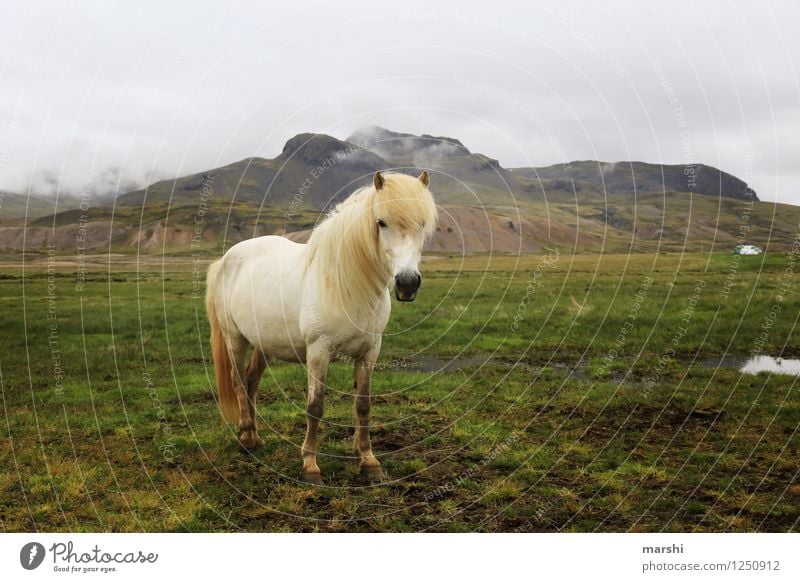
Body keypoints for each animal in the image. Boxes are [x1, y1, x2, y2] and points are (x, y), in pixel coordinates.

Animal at [203, 171, 434, 486]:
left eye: (422, 224)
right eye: (381, 222)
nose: (407, 283)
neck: (345, 284)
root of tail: (225, 258)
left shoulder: (369, 352)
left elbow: (363, 405)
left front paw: (368, 461)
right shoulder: (318, 352)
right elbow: (315, 407)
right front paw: (310, 467)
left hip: (264, 343)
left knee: (251, 382)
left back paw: (255, 437)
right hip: (235, 338)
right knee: (238, 382)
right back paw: (247, 438)